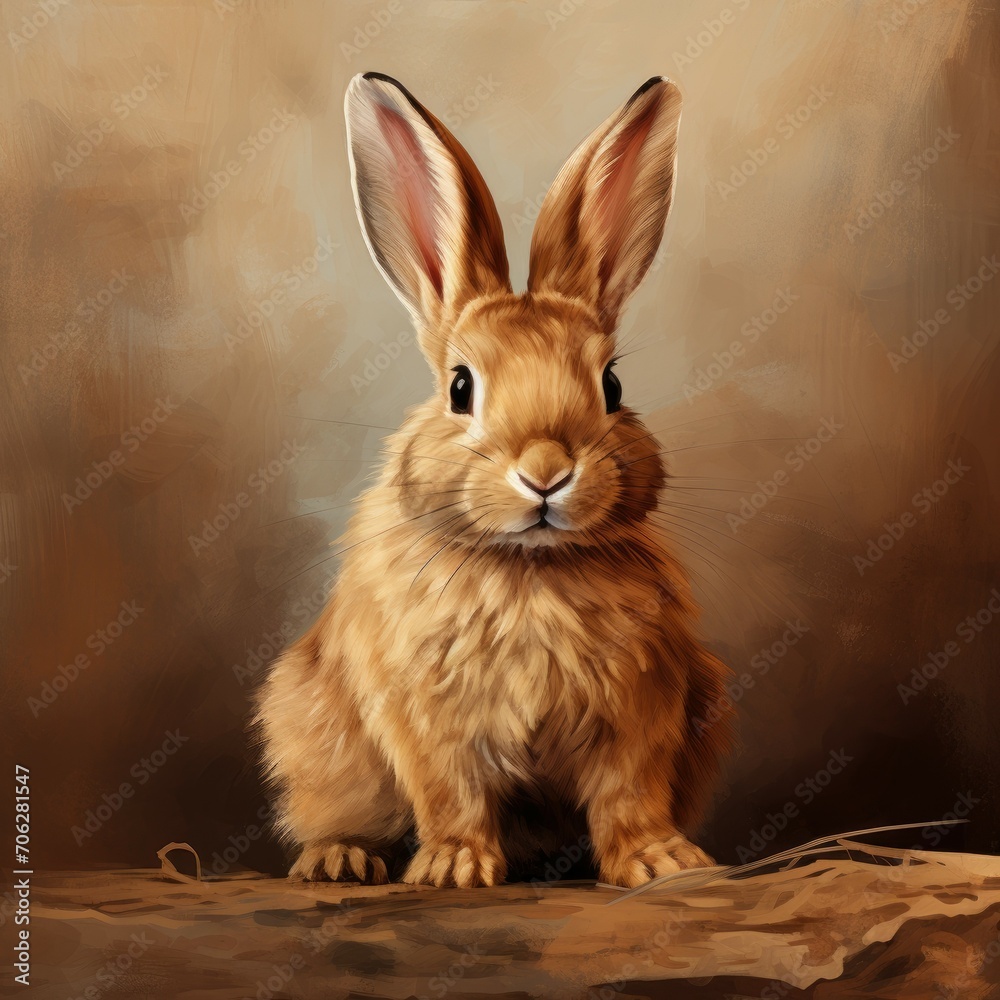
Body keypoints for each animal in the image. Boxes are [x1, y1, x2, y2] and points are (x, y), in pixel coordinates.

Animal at [256, 72, 735, 889]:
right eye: (460, 387)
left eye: (611, 385)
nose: (546, 471)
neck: (528, 569)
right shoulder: (427, 716)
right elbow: (451, 791)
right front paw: (453, 868)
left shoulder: (643, 708)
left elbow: (631, 792)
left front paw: (661, 861)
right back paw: (341, 860)